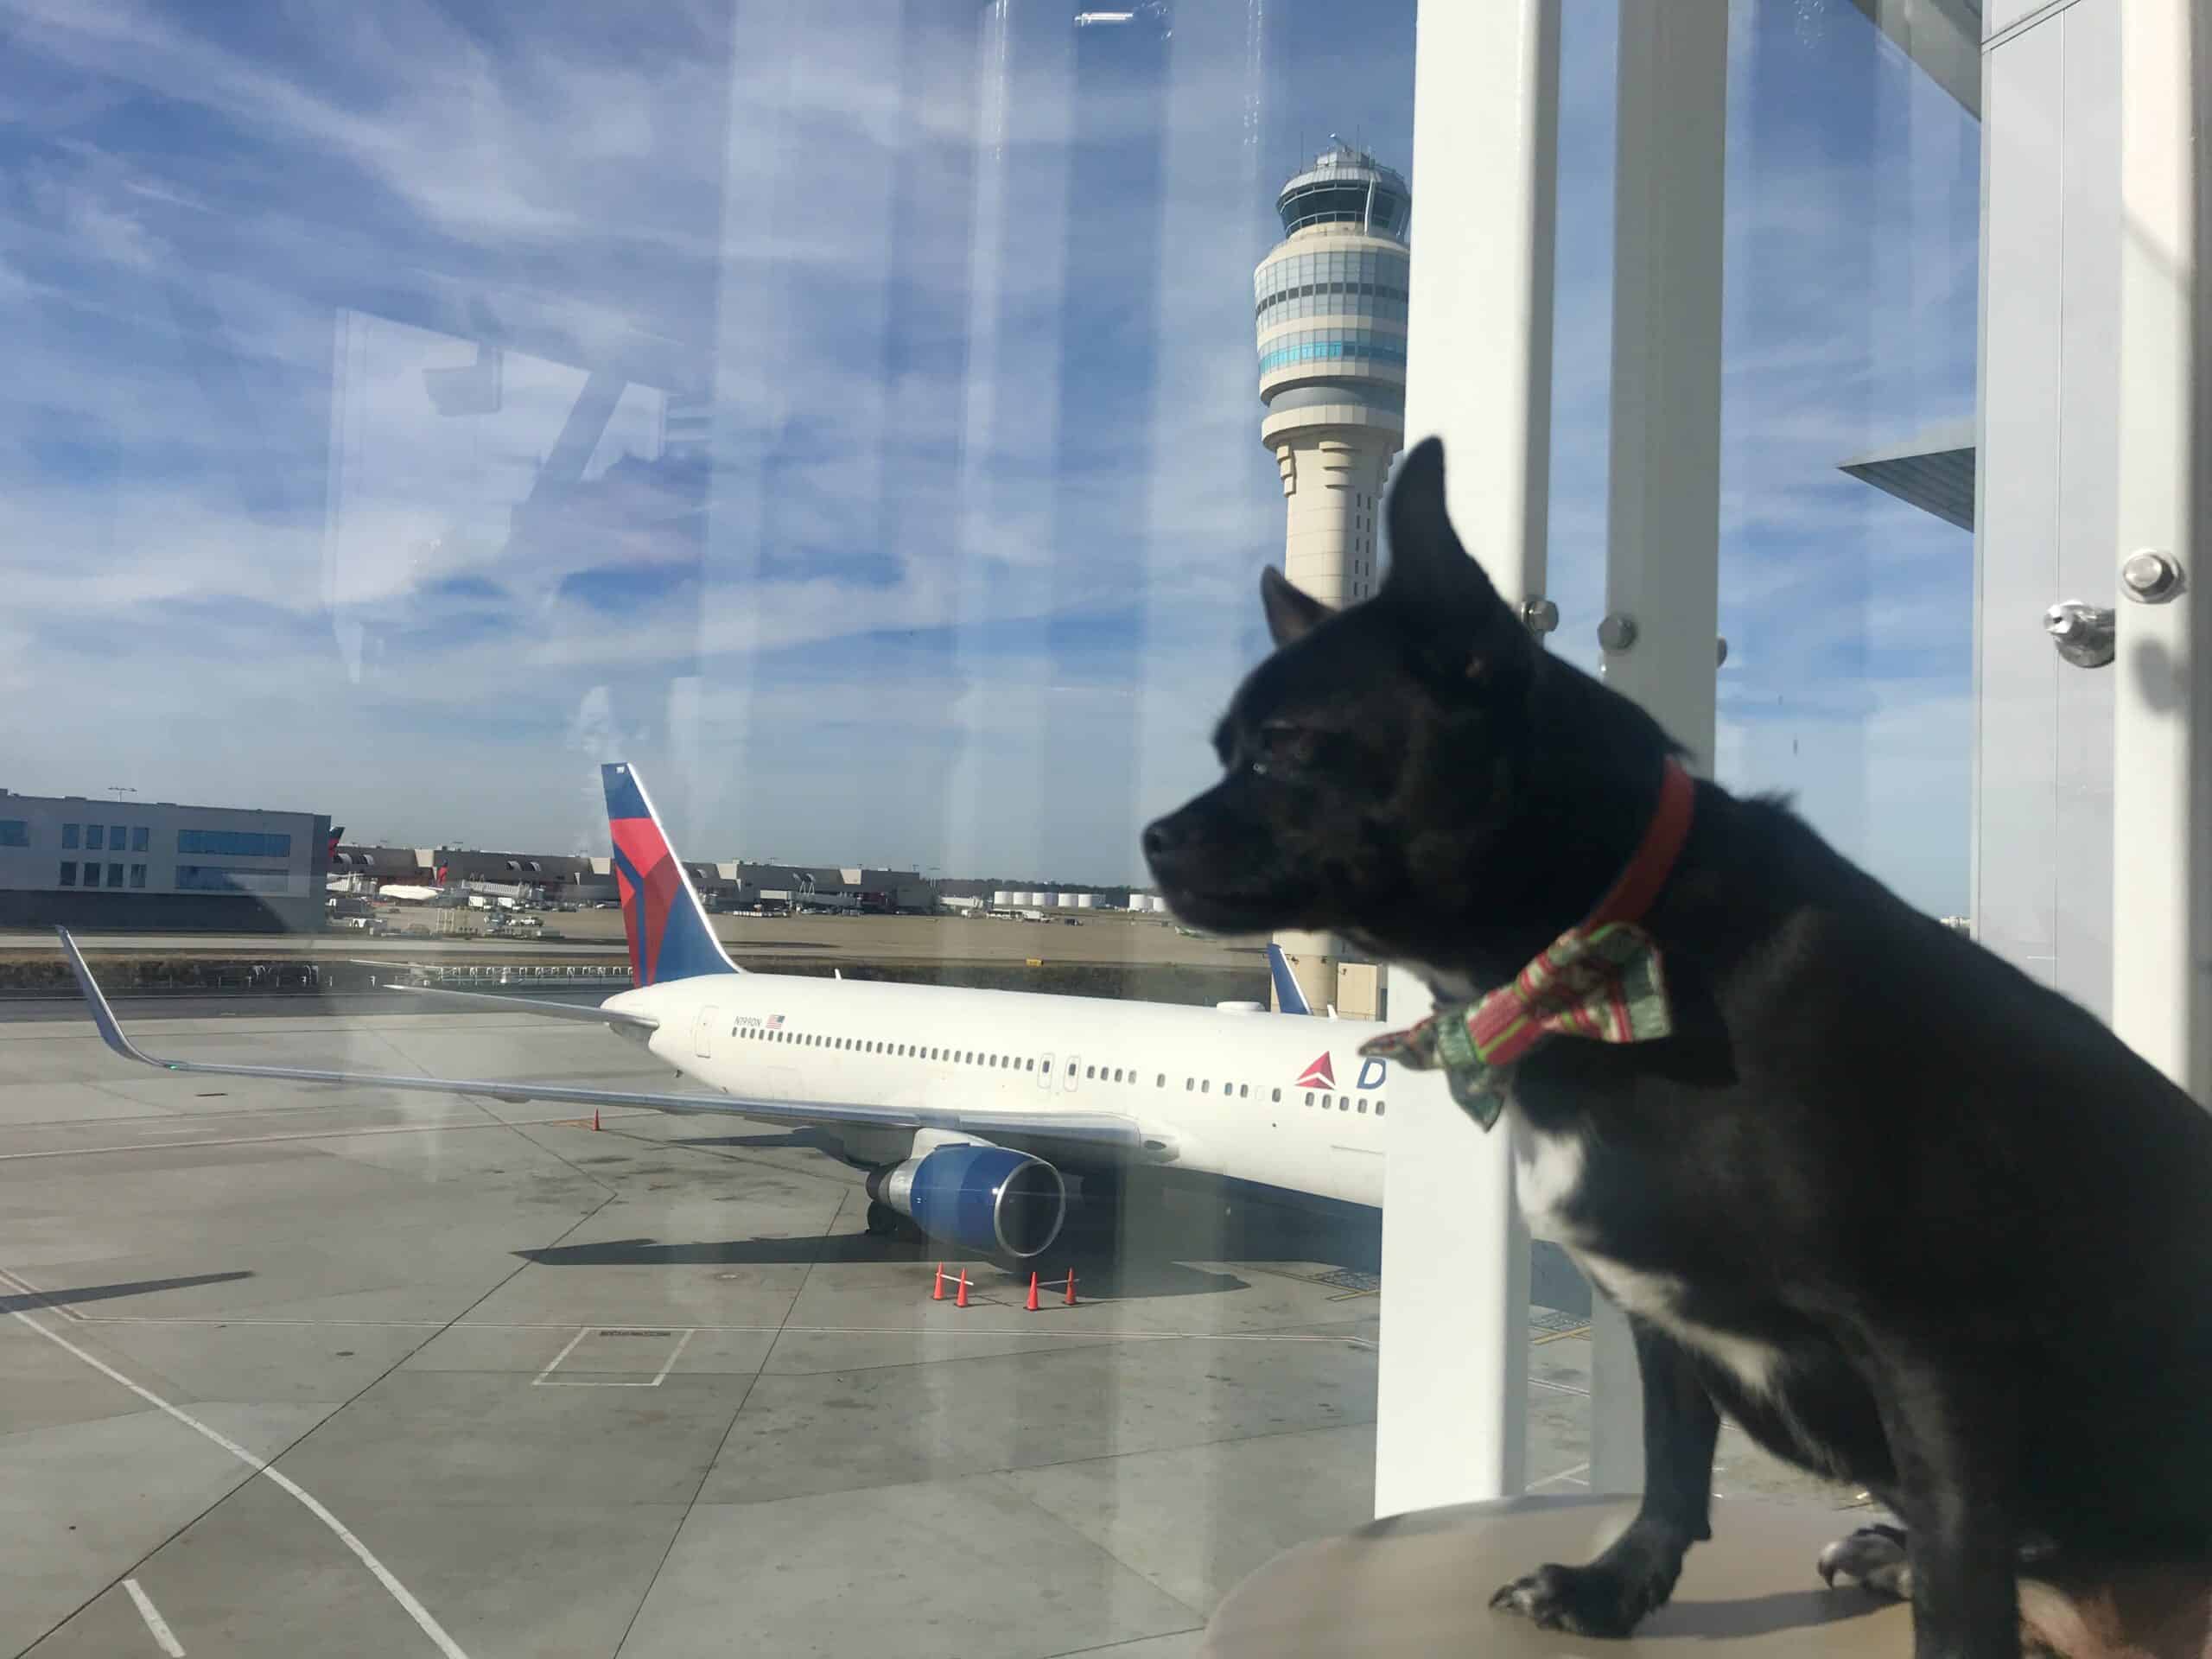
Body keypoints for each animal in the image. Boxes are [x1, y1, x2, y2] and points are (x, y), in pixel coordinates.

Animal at [1141, 442, 2212, 1659]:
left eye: (1281, 751)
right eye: (1225, 751)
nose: (1152, 838)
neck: (1599, 958)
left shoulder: (1936, 1355)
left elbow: (1958, 1578)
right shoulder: (1661, 1311)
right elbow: (1669, 1465)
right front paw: (1614, 1590)